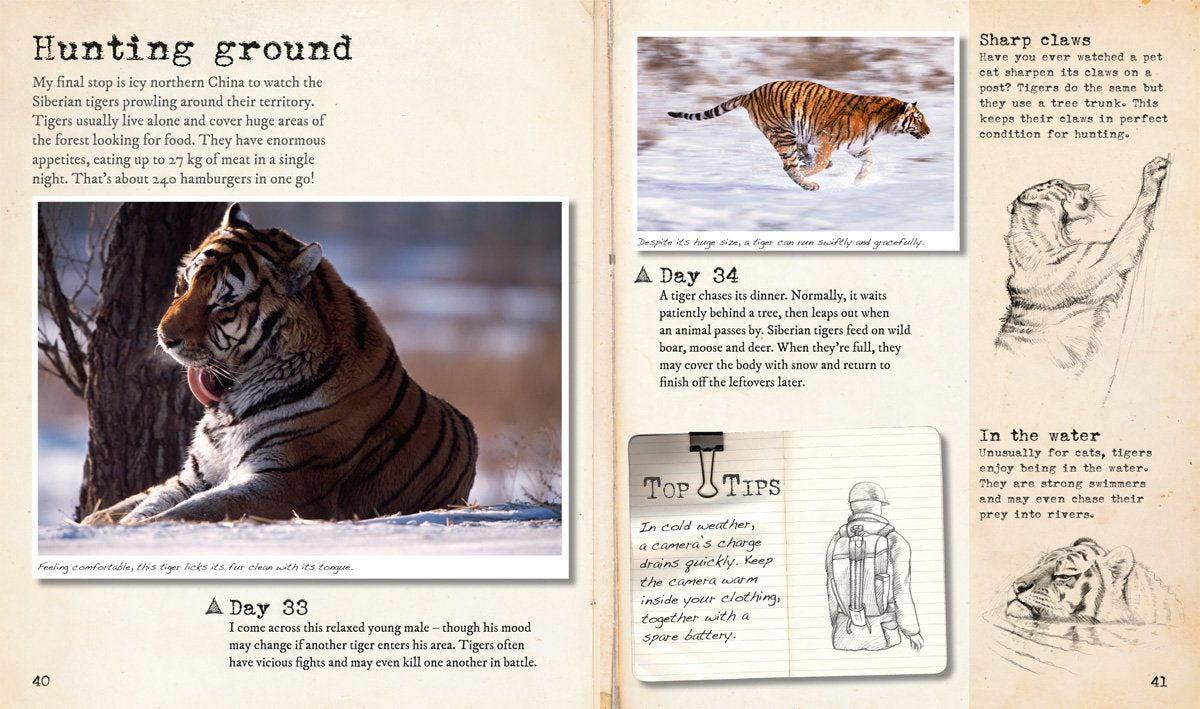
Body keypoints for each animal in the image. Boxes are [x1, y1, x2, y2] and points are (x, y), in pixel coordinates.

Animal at [82, 203, 477, 524]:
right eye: (183, 285)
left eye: (223, 304)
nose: (164, 337)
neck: (229, 403)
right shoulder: (195, 476)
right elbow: (140, 507)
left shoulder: (285, 482)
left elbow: (186, 513)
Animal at [667, 80, 930, 191]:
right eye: (918, 118)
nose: (929, 132)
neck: (883, 123)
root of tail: (750, 93)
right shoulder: (827, 140)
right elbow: (820, 162)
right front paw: (811, 173)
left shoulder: (856, 146)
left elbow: (869, 161)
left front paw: (858, 181)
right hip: (783, 134)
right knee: (789, 166)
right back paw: (809, 184)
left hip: (795, 133)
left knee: (799, 156)